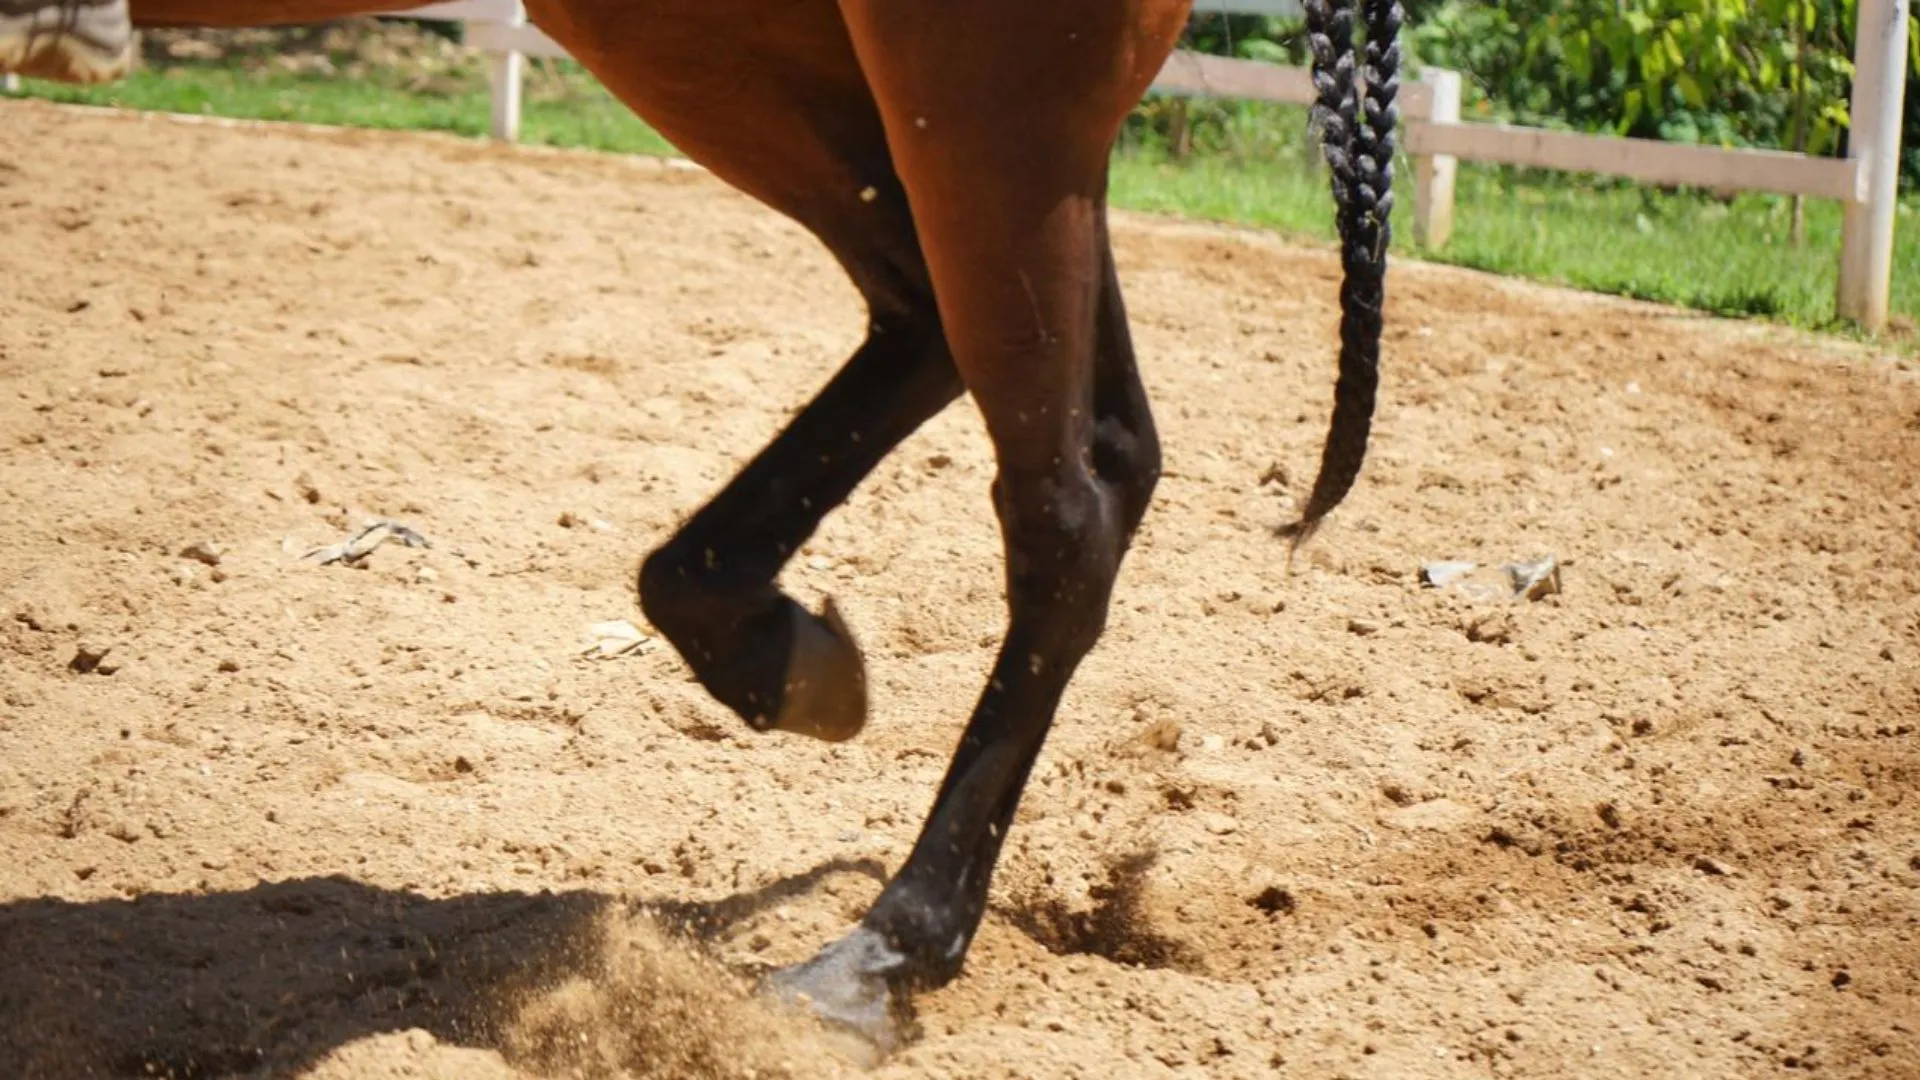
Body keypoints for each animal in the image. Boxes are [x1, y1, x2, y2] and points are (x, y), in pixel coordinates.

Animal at [2, 0, 1403, 1049]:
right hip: (766, 59)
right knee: (966, 355)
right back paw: (777, 655)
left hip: (980, 99)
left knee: (1066, 498)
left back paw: (885, 950)